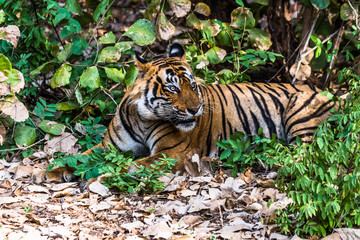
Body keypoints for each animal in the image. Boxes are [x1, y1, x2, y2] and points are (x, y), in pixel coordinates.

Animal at [82, 43, 334, 172]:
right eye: (172, 88)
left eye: (193, 86)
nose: (195, 109)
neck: (142, 119)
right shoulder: (109, 147)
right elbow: (79, 157)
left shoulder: (170, 153)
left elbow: (134, 167)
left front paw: (97, 178)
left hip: (300, 114)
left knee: (302, 156)